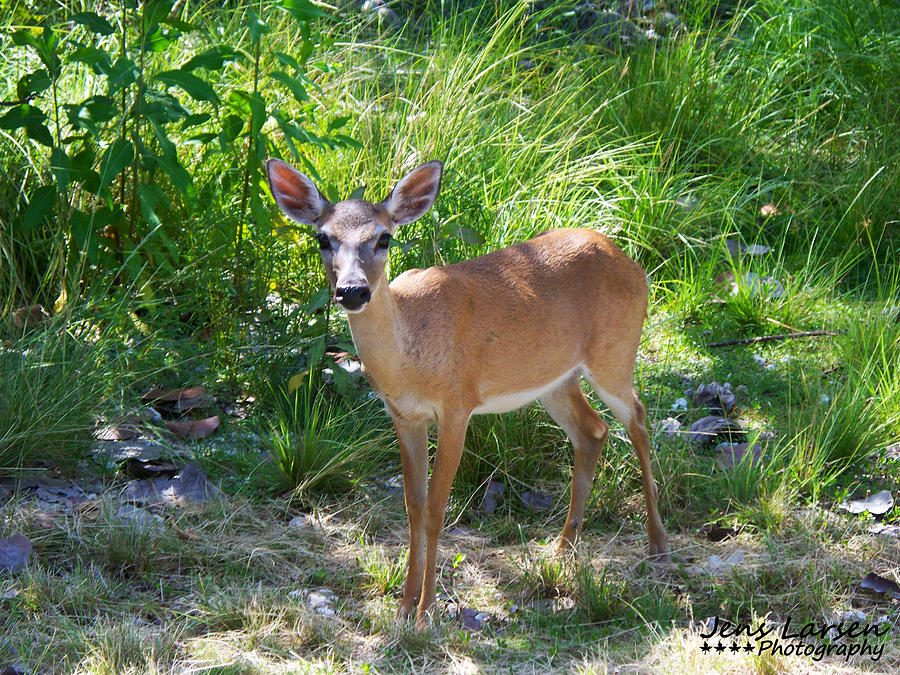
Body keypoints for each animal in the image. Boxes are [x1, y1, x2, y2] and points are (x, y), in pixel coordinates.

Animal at [266, 156, 668, 624]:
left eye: (384, 237)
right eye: (322, 238)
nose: (352, 290)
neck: (409, 357)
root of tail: (632, 263)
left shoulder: (457, 405)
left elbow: (436, 510)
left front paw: (425, 609)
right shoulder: (403, 416)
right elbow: (413, 508)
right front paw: (404, 606)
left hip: (615, 354)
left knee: (638, 419)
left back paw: (657, 544)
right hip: (554, 378)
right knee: (593, 430)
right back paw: (562, 550)